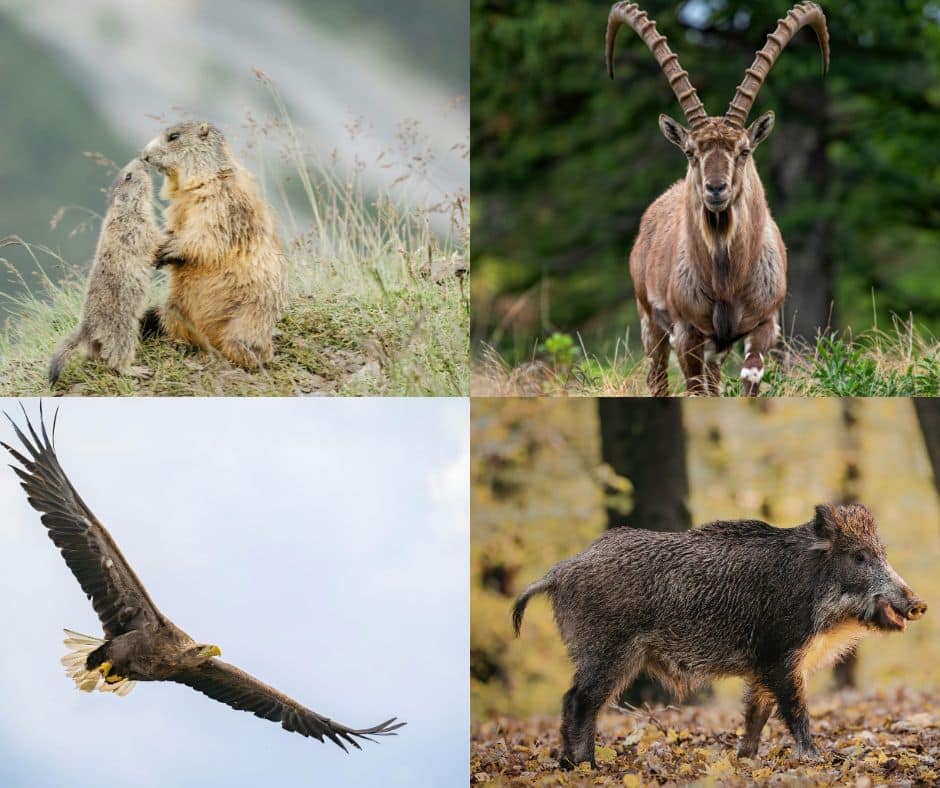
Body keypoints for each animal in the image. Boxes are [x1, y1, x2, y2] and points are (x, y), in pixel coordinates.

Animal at [512, 504, 926, 767]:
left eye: (882, 553)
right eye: (859, 557)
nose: (918, 604)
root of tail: (560, 572)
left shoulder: (764, 666)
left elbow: (756, 714)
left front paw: (746, 761)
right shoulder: (780, 657)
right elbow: (796, 710)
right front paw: (814, 759)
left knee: (575, 700)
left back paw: (572, 764)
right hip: (607, 650)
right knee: (579, 700)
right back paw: (586, 766)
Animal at [606, 2, 829, 395]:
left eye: (743, 150)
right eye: (690, 152)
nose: (715, 189)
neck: (728, 279)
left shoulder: (764, 324)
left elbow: (750, 376)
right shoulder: (687, 333)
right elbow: (694, 388)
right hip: (649, 321)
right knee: (659, 377)